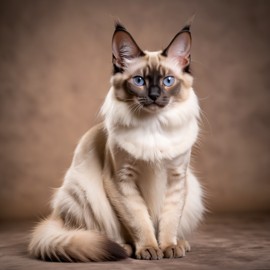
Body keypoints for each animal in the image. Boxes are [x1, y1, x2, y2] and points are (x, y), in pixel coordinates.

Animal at [28, 22, 204, 262]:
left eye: (168, 81)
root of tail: (56, 217)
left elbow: (169, 221)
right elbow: (140, 222)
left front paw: (168, 246)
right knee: (98, 234)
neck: (153, 125)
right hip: (85, 194)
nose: (154, 95)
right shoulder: (122, 180)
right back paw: (126, 248)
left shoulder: (177, 178)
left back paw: (181, 244)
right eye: (139, 81)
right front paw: (149, 249)